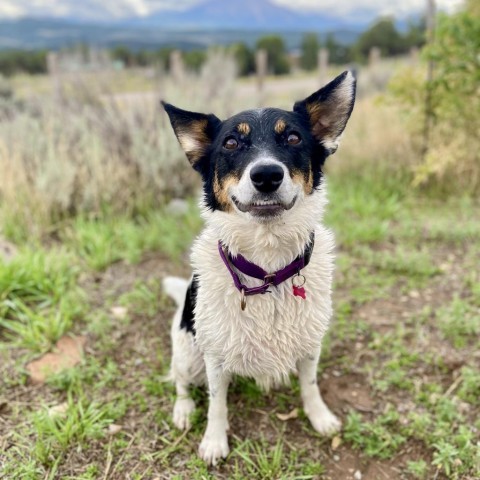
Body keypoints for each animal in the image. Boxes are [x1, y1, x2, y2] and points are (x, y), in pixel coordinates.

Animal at [163, 71, 354, 464]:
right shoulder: (215, 357)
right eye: (232, 143)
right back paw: (183, 410)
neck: (267, 270)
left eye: (293, 138)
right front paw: (214, 441)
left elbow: (310, 385)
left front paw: (320, 416)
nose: (266, 174)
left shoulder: (310, 343)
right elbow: (217, 404)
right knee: (181, 382)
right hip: (188, 352)